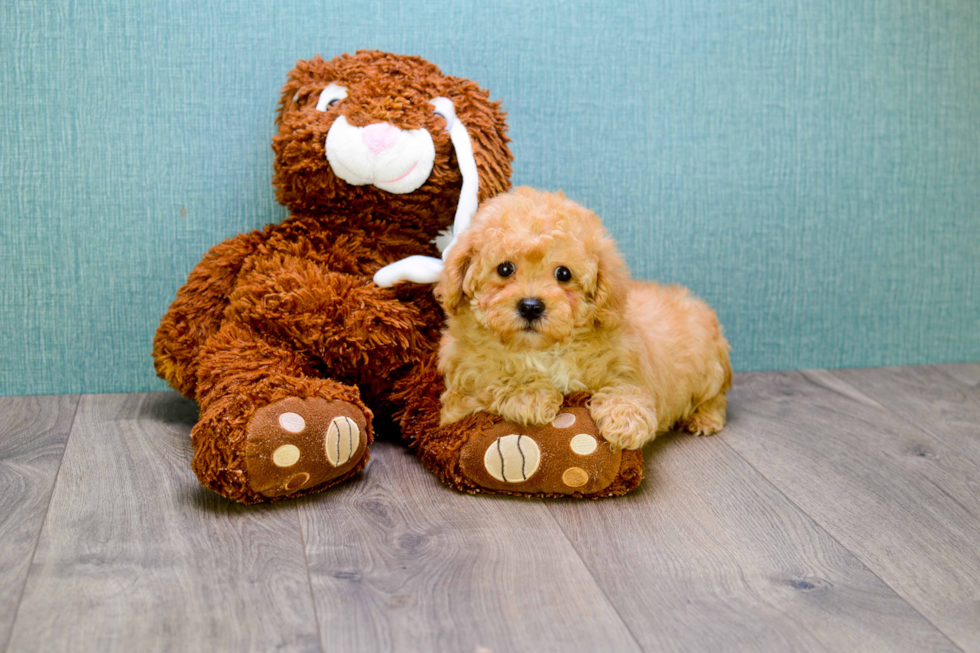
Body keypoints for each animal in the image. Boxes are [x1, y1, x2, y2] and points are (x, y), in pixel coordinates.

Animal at [432, 186, 732, 446]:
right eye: (505, 269)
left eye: (563, 274)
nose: (531, 306)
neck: (543, 350)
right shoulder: (458, 395)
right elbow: (487, 383)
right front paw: (531, 395)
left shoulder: (627, 364)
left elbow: (627, 386)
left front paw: (626, 421)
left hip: (710, 370)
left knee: (716, 399)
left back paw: (704, 418)